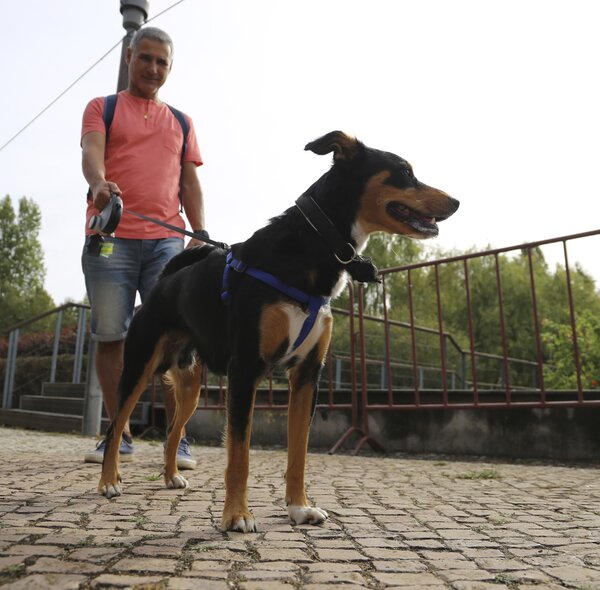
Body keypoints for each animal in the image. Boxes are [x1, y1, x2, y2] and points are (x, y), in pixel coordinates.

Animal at [98, 131, 459, 533]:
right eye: (404, 171)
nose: (456, 202)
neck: (314, 245)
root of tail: (165, 282)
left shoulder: (307, 376)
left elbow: (298, 454)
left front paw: (299, 508)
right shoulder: (245, 371)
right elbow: (239, 456)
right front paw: (237, 515)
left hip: (189, 386)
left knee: (173, 430)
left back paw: (171, 475)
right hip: (138, 368)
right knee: (115, 427)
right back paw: (109, 481)